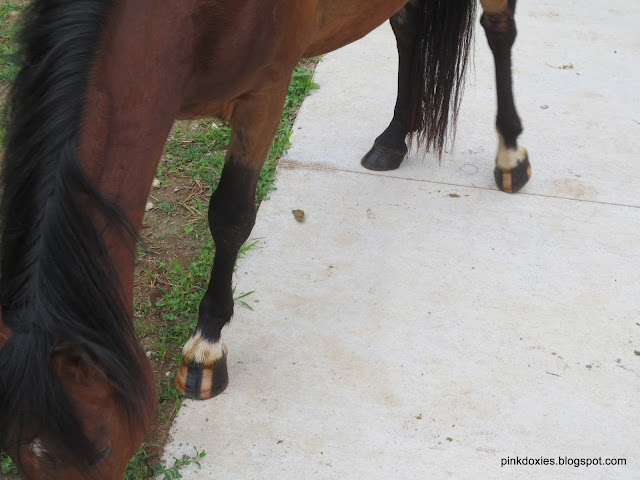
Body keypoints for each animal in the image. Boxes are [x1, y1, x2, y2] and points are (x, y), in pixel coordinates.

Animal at [0, 0, 528, 478]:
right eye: (16, 455)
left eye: (103, 450)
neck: (191, 14)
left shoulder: (264, 96)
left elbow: (230, 215)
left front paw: (206, 348)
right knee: (409, 24)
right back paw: (393, 139)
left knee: (499, 26)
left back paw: (510, 156)